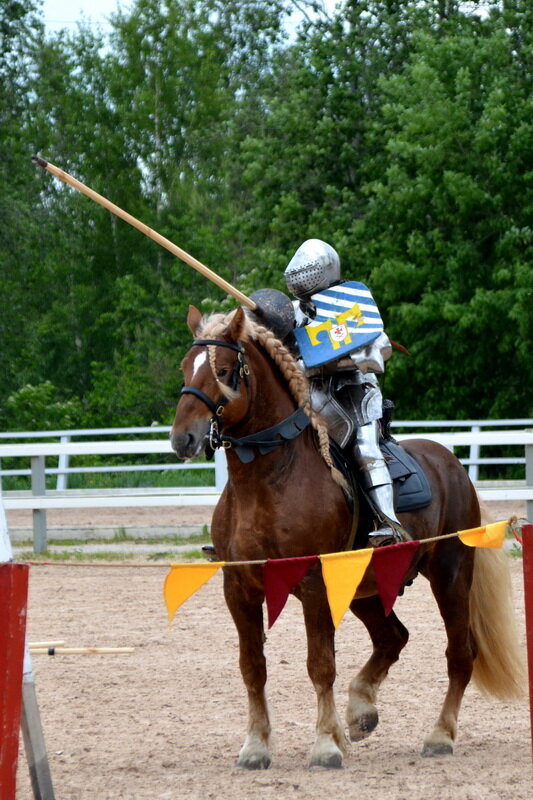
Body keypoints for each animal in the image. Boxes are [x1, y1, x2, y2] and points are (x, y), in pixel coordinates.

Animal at [170, 304, 524, 768]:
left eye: (225, 370)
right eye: (184, 368)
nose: (184, 438)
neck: (269, 480)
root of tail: (453, 466)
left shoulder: (314, 583)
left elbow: (320, 664)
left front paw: (324, 744)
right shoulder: (239, 587)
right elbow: (252, 666)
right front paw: (257, 745)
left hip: (450, 575)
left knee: (459, 655)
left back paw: (439, 735)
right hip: (366, 589)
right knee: (393, 637)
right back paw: (360, 711)